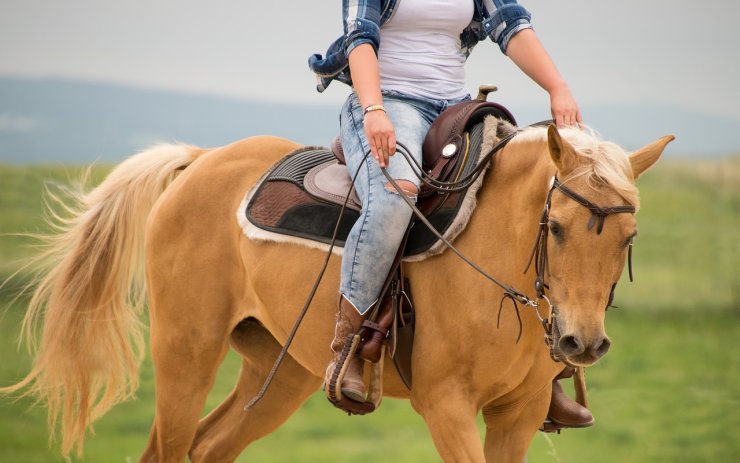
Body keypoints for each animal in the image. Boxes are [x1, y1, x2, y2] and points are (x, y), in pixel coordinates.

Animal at [1, 118, 672, 462]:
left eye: (630, 236)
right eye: (555, 228)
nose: (582, 343)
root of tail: (202, 158)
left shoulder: (519, 412)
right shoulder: (447, 406)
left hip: (280, 372)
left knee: (209, 446)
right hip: (186, 353)